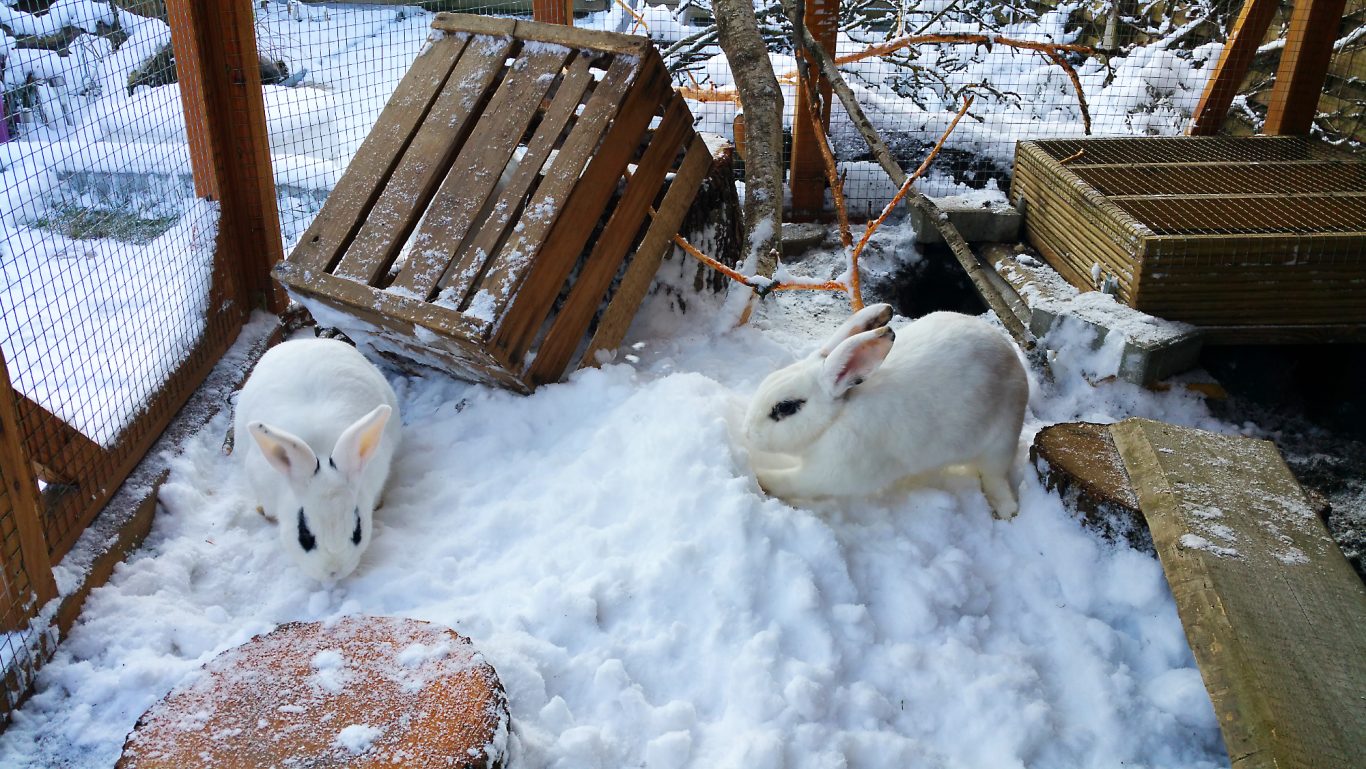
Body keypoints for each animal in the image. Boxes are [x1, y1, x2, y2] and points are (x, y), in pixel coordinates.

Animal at [743, 304, 1028, 518]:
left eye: (786, 407)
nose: (747, 434)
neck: (835, 420)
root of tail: (1011, 357)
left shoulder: (834, 472)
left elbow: (792, 481)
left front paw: (760, 477)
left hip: (1001, 441)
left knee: (994, 476)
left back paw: (1007, 510)